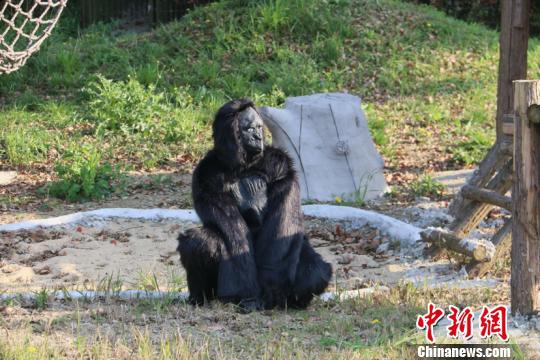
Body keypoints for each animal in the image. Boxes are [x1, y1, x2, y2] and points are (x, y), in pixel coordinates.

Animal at [177, 98, 332, 312]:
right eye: (249, 128)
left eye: (259, 127)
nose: (258, 137)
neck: (243, 166)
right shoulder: (205, 176)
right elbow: (233, 231)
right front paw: (247, 295)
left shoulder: (282, 168)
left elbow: (280, 228)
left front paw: (272, 291)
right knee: (197, 241)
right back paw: (200, 300)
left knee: (316, 270)